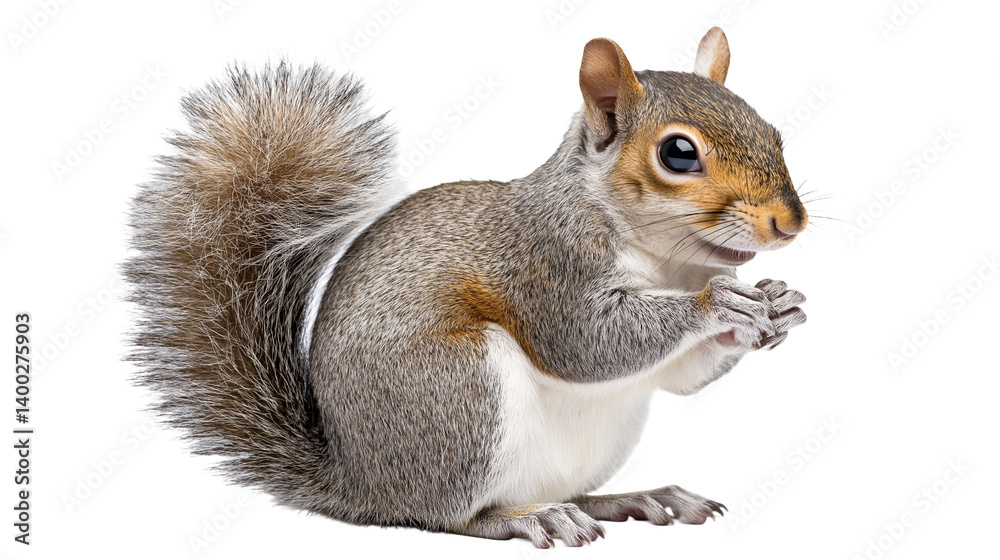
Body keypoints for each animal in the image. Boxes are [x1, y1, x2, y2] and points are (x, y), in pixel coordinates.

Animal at [126, 27, 807, 548]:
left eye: (773, 132)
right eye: (678, 154)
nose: (790, 222)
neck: (670, 264)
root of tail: (357, 482)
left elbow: (681, 378)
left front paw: (777, 306)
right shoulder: (547, 264)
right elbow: (587, 345)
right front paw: (720, 302)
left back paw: (633, 498)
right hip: (458, 393)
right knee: (446, 516)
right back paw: (528, 521)